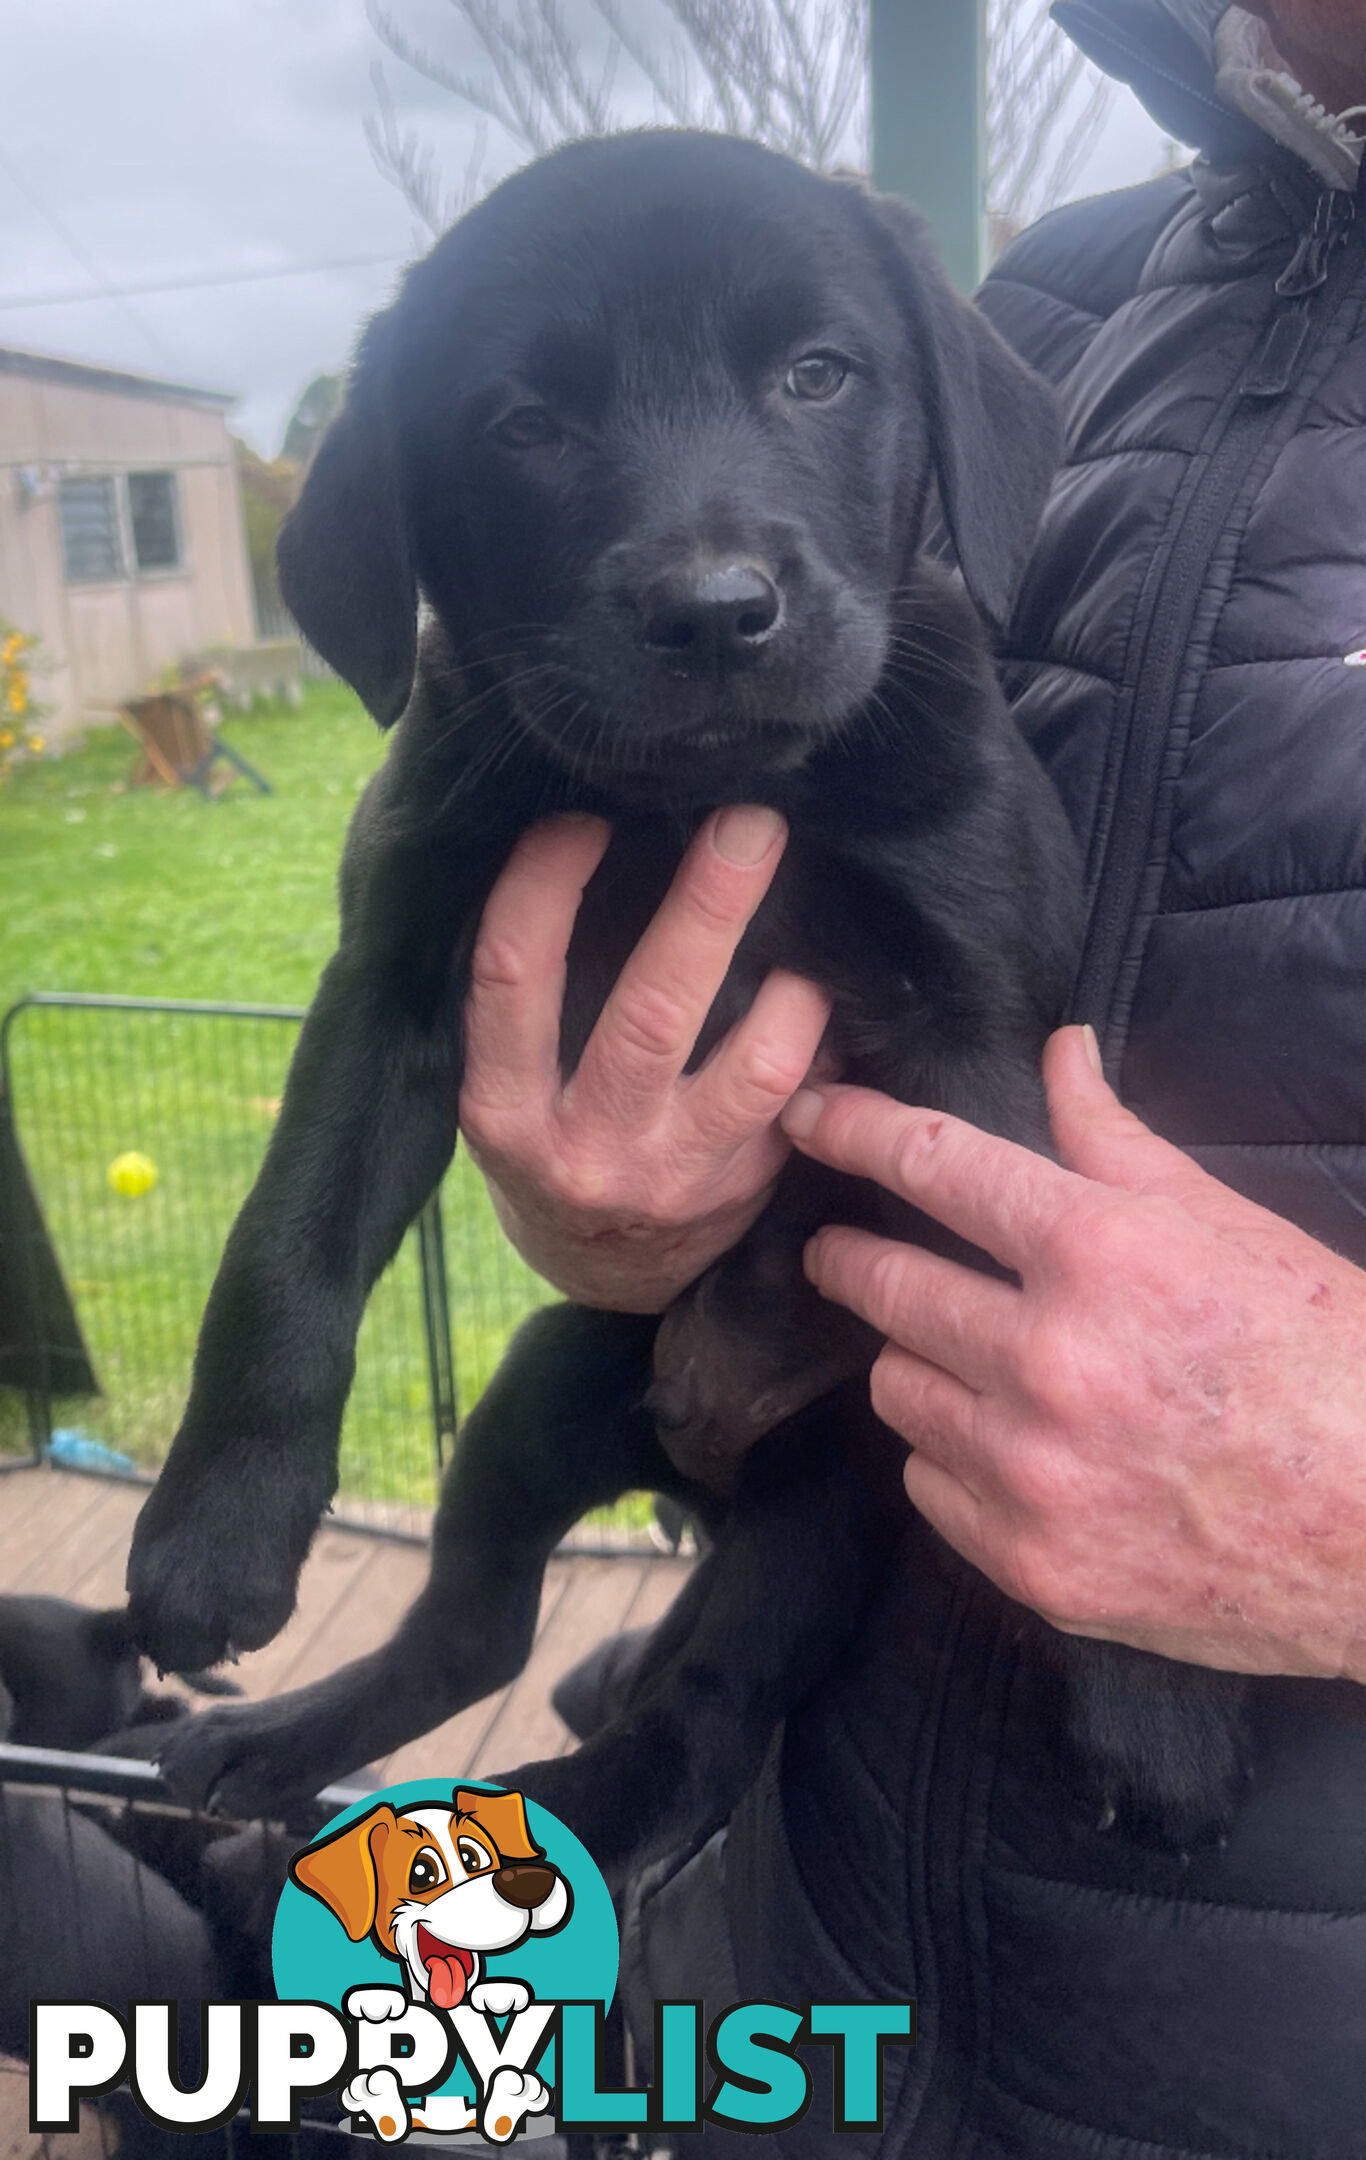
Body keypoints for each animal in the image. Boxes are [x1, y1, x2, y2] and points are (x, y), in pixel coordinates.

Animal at [128, 130, 1244, 1857]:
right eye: (521, 424)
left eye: (816, 374)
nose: (713, 611)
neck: (691, 803)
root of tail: (701, 1479)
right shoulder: (390, 986)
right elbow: (282, 1252)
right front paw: (214, 1535)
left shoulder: (975, 1040)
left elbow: (1068, 1310)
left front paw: (1152, 1696)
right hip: (541, 1387)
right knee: (482, 1634)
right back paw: (298, 1750)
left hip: (831, 1505)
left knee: (703, 1732)